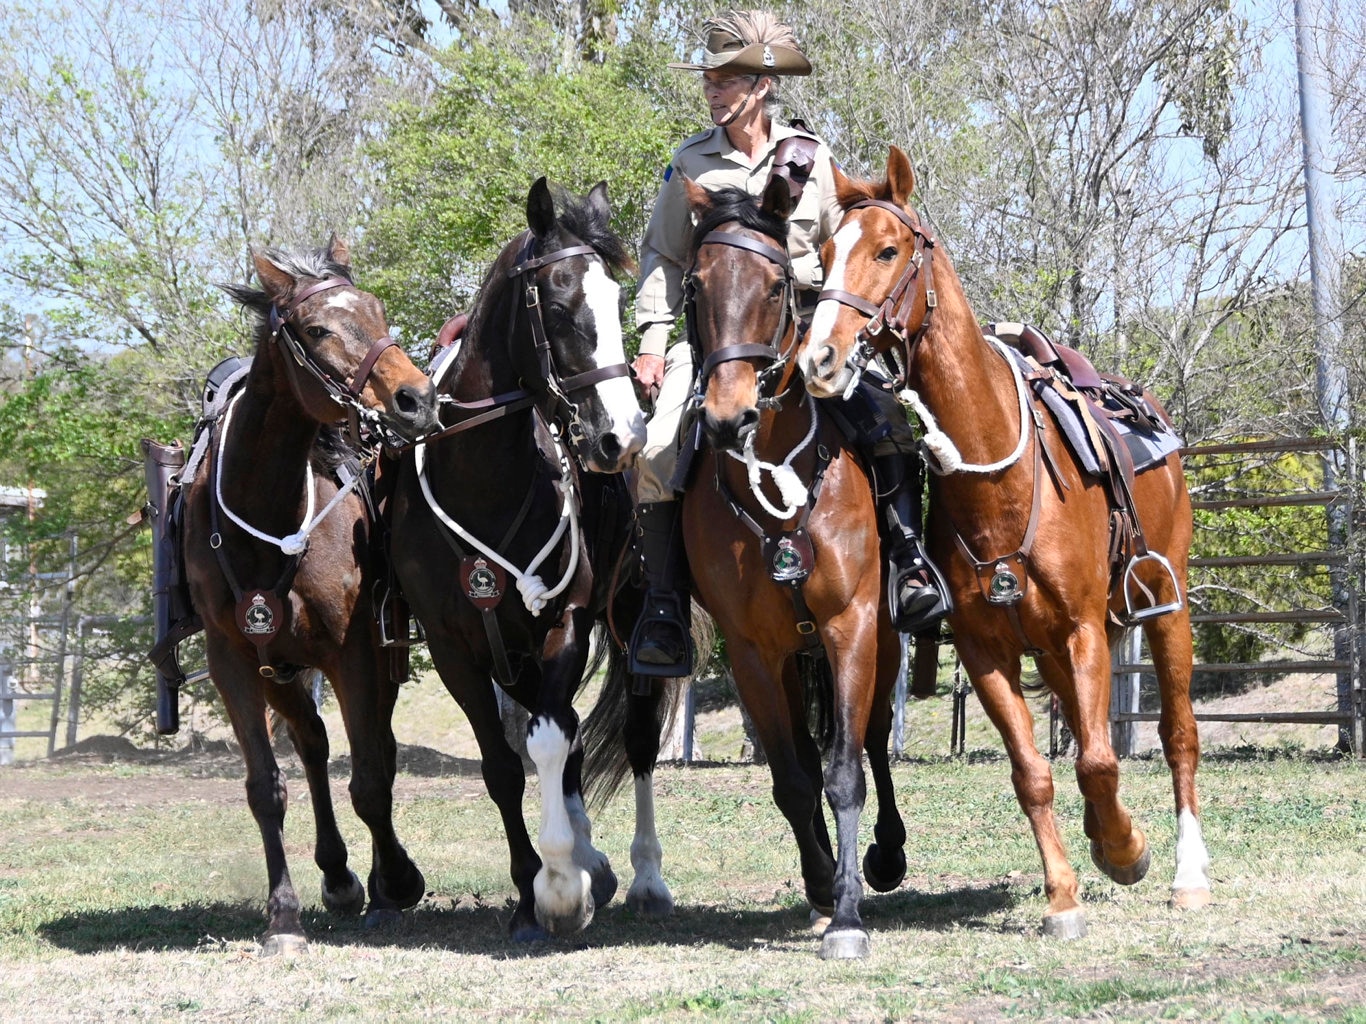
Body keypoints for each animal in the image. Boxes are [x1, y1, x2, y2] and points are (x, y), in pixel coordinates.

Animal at [178, 238, 439, 955]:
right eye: (319, 329)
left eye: (378, 312)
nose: (417, 400)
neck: (264, 508)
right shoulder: (234, 660)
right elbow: (267, 787)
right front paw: (284, 916)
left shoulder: (355, 654)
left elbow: (372, 778)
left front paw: (396, 885)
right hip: (282, 671)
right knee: (316, 745)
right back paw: (339, 878)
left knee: (376, 751)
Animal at [387, 180, 674, 944]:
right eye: (561, 303)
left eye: (616, 298)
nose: (621, 437)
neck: (484, 477)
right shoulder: (457, 646)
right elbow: (503, 766)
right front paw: (532, 888)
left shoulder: (563, 623)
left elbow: (547, 742)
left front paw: (561, 888)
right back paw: (592, 861)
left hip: (631, 620)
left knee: (632, 740)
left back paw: (642, 875)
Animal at [622, 178, 907, 961]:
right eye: (694, 286)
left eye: (778, 286)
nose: (729, 416)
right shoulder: (754, 653)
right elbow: (793, 778)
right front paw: (822, 889)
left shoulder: (851, 628)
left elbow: (844, 770)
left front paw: (848, 916)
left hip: (884, 640)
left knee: (875, 738)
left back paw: (886, 856)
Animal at [797, 148, 1213, 944]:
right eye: (824, 256)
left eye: (888, 251)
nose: (820, 359)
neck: (1002, 474)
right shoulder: (989, 650)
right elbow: (1036, 772)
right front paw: (1065, 893)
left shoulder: (1084, 631)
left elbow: (1100, 761)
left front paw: (1125, 849)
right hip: (1047, 647)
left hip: (1164, 608)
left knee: (1177, 734)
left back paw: (1186, 873)